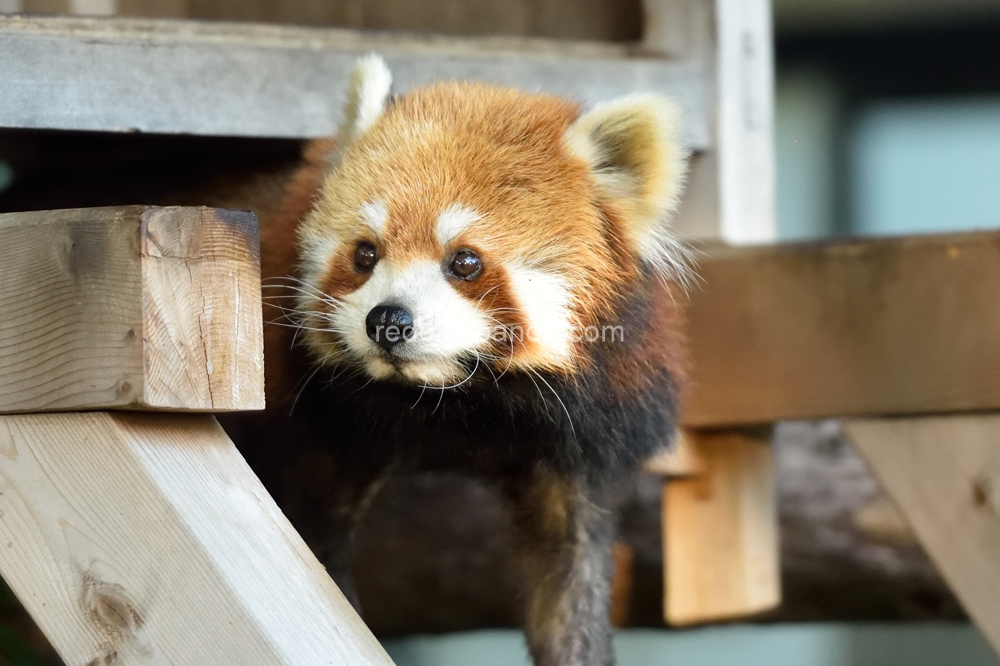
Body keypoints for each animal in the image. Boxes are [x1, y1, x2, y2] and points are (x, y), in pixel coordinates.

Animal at [234, 55, 688, 664]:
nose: (387, 320)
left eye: (465, 262)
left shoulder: (575, 445)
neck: (460, 401)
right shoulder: (318, 427)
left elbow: (568, 578)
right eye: (365, 254)